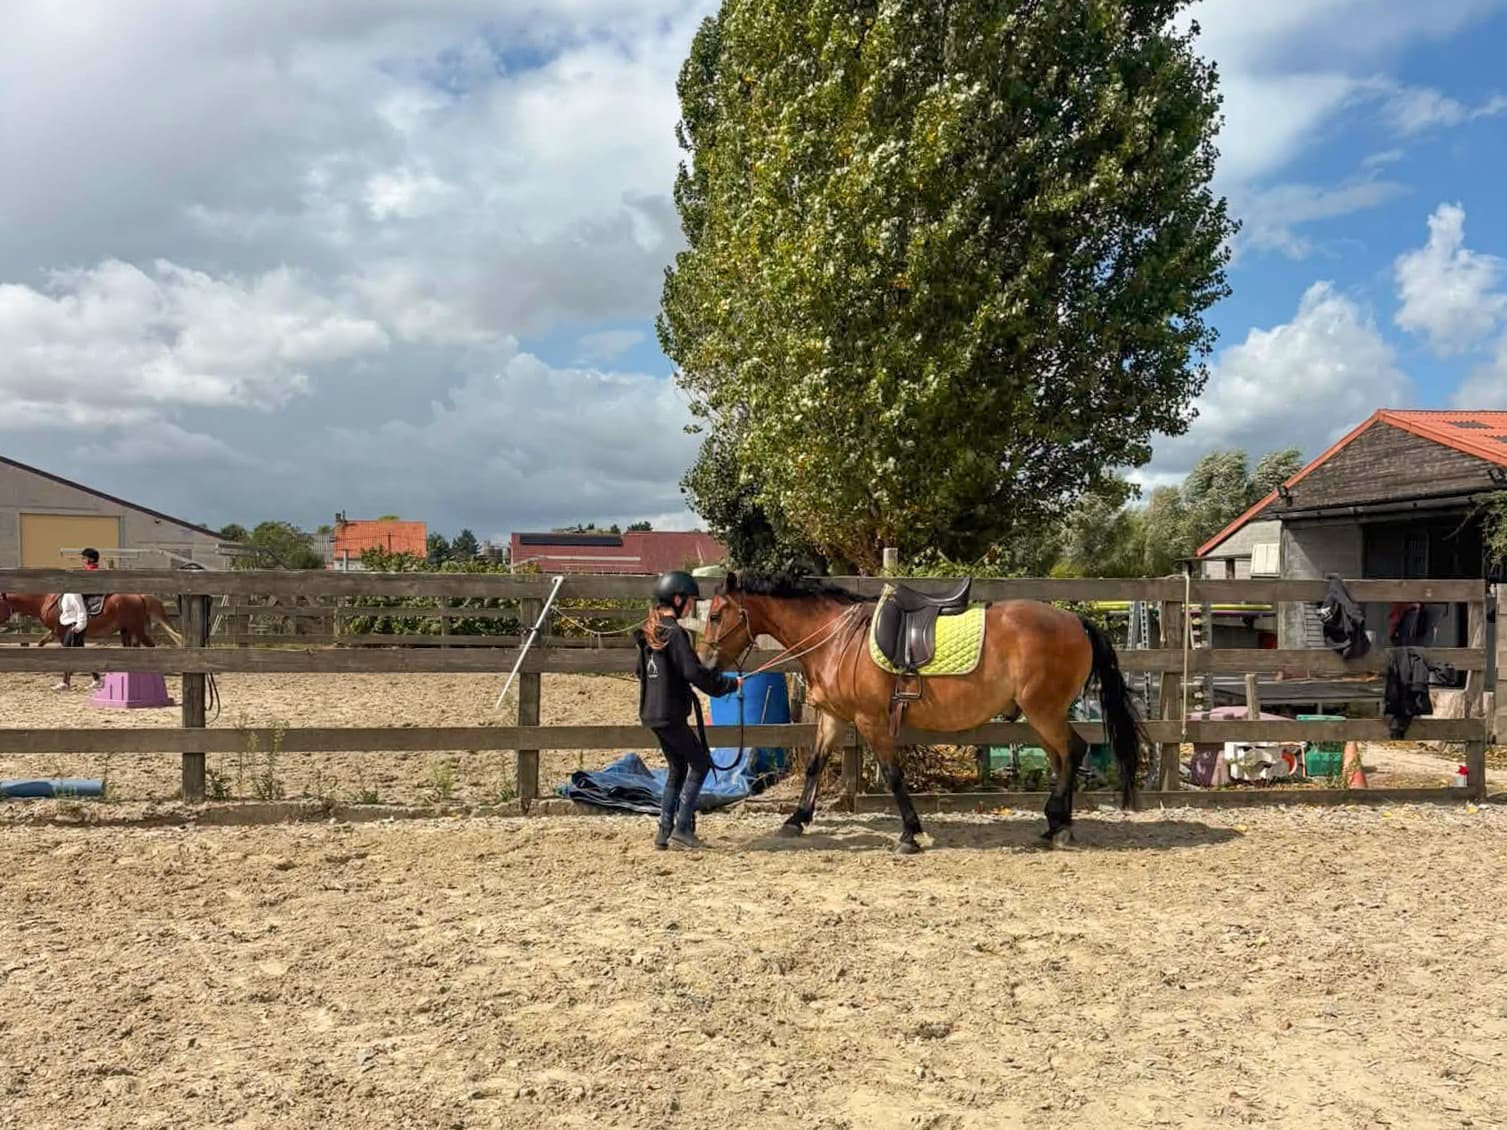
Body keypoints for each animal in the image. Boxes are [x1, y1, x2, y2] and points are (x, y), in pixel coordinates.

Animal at [0, 591, 184, 647]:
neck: (46, 600)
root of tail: (139, 596)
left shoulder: (61, 632)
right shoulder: (55, 631)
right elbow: (41, 642)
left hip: (136, 628)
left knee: (150, 645)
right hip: (127, 630)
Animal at [699, 572, 1147, 853]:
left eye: (716, 614)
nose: (704, 664)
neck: (837, 638)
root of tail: (1076, 620)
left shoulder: (871, 721)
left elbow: (893, 774)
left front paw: (909, 833)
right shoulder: (834, 717)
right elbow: (814, 765)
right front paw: (796, 819)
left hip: (1044, 711)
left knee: (1072, 752)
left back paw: (1059, 823)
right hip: (1042, 715)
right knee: (1062, 758)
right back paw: (1057, 825)